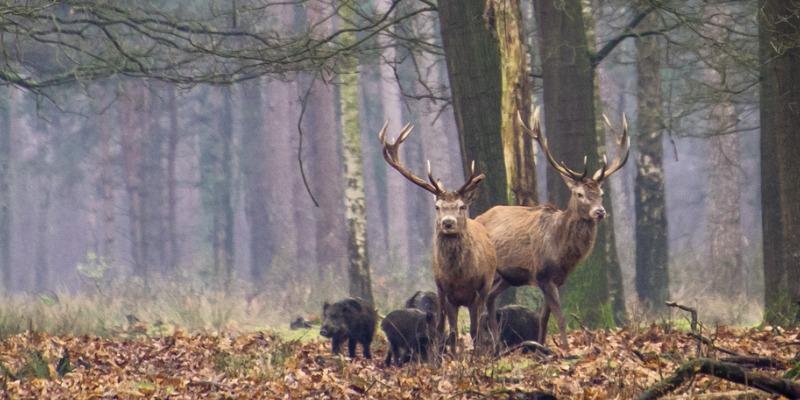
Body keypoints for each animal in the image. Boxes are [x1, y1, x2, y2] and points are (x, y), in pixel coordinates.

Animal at [378, 121, 496, 354]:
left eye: (462, 206)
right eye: (437, 206)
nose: (447, 223)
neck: (460, 277)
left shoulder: (478, 290)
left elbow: (475, 330)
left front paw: (476, 356)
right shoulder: (445, 291)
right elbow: (452, 331)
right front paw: (453, 356)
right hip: (440, 293)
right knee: (442, 326)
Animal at [478, 108, 628, 350]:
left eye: (602, 193)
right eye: (580, 194)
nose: (600, 212)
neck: (560, 251)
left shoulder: (557, 279)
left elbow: (544, 317)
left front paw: (542, 347)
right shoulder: (542, 274)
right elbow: (560, 316)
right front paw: (566, 350)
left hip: (507, 276)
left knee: (490, 298)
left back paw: (497, 344)